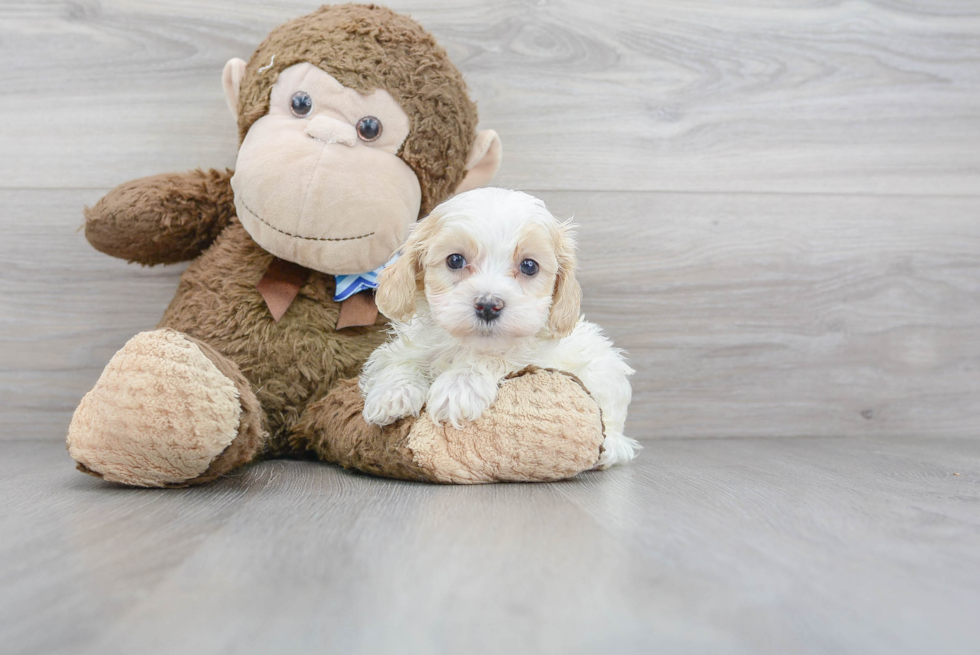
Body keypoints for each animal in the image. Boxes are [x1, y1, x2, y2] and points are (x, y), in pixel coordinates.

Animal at [356, 187, 640, 468]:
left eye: (529, 266)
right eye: (455, 260)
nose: (488, 305)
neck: (467, 344)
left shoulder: (540, 358)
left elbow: (497, 358)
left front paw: (459, 387)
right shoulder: (406, 346)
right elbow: (399, 360)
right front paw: (393, 394)